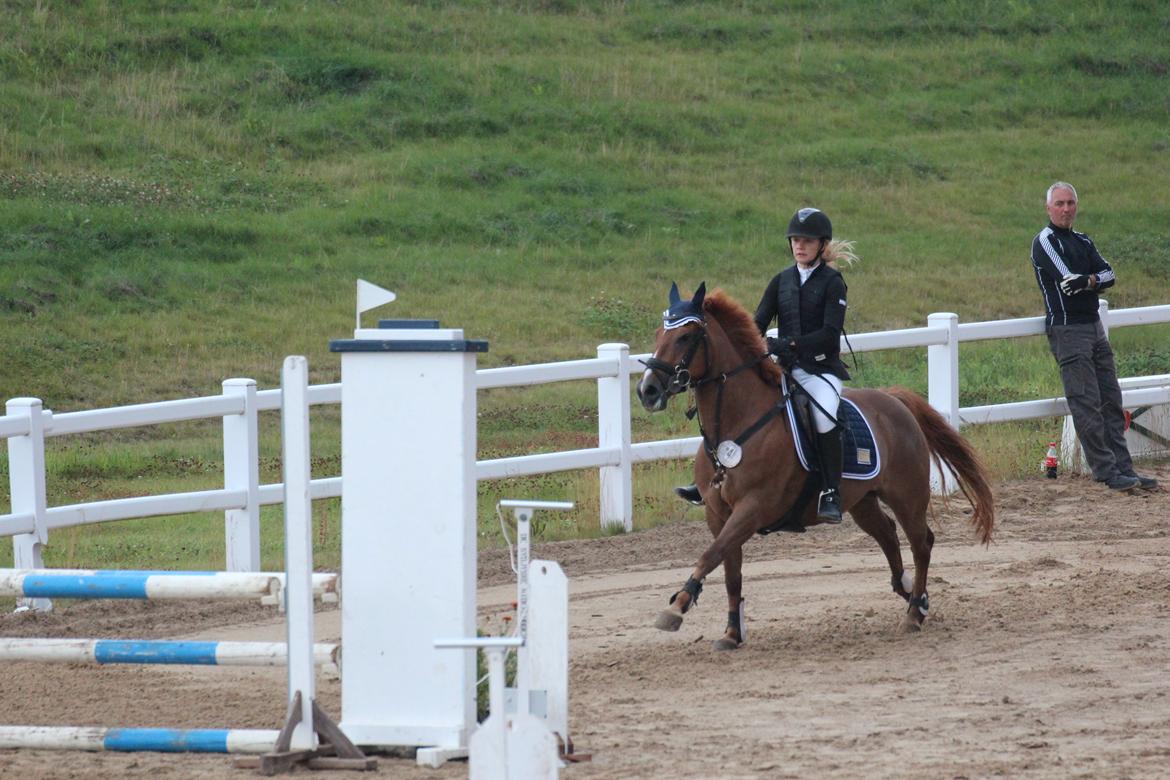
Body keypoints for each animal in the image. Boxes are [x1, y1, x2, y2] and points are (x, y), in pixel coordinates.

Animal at [636, 286, 992, 645]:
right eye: (658, 334)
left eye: (685, 336)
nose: (647, 390)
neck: (738, 425)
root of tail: (894, 400)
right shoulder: (717, 513)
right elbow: (729, 569)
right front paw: (732, 633)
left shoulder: (753, 507)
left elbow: (712, 554)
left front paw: (676, 607)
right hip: (862, 502)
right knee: (889, 535)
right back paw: (911, 593)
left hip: (907, 496)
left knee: (921, 543)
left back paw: (915, 613)